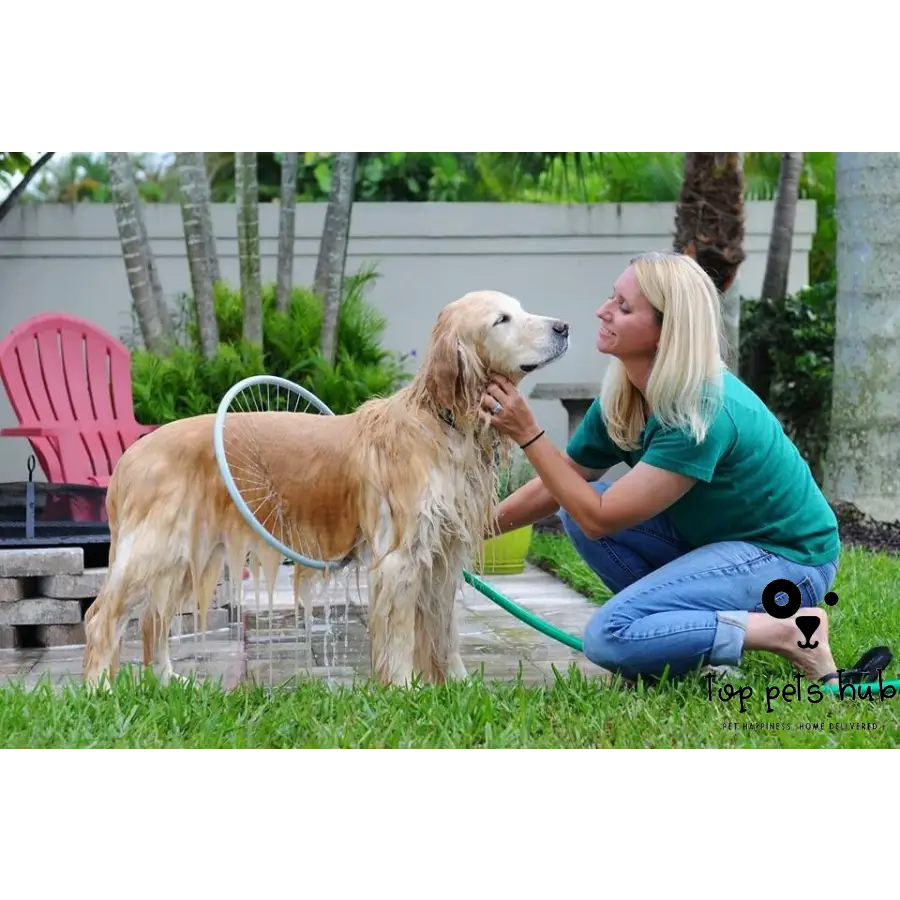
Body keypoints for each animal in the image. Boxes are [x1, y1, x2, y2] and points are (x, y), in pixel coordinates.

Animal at [81, 292, 568, 684]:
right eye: (502, 319)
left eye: (521, 308)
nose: (563, 326)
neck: (442, 420)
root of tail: (131, 454)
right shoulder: (400, 558)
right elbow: (400, 636)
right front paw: (405, 688)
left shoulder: (442, 556)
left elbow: (444, 632)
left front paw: (459, 685)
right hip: (155, 550)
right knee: (102, 616)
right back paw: (100, 689)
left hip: (186, 557)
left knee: (153, 621)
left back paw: (168, 680)